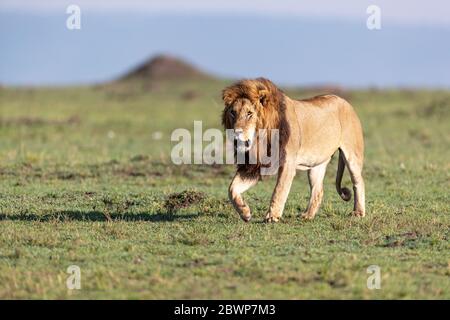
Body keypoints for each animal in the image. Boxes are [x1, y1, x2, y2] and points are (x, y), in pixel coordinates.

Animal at [221, 78, 366, 222]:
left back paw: (358, 212)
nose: (235, 133)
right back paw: (307, 215)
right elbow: (231, 188)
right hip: (316, 164)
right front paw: (244, 212)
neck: (260, 140)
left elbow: (279, 190)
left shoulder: (288, 162)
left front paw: (272, 216)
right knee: (318, 190)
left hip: (352, 155)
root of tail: (344, 101)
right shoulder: (255, 165)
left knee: (359, 182)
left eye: (249, 114)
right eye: (233, 112)